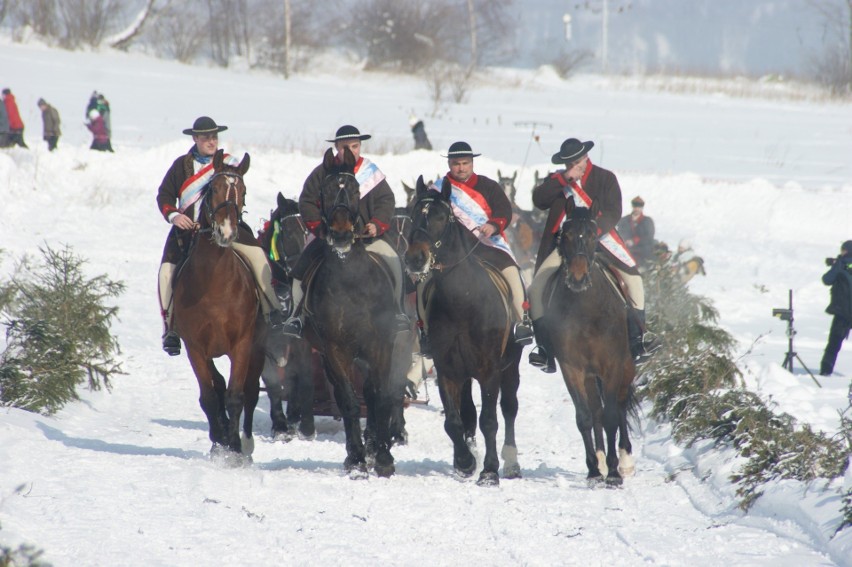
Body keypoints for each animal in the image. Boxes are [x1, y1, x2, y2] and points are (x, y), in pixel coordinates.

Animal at [171, 149, 264, 460]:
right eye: (213, 189)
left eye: (243, 191)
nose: (226, 232)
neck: (214, 284)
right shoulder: (195, 347)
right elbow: (210, 396)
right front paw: (218, 441)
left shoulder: (243, 344)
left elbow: (236, 395)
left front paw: (234, 447)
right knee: (218, 384)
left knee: (250, 390)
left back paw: (245, 442)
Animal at [304, 148, 412, 480]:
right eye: (326, 190)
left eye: (353, 190)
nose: (340, 235)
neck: (350, 280)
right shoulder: (334, 350)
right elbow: (350, 402)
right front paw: (356, 460)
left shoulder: (381, 345)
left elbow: (380, 397)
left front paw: (383, 457)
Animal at [402, 176, 524, 484]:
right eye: (412, 214)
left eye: (440, 216)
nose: (415, 258)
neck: (463, 300)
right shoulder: (448, 370)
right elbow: (453, 421)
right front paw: (465, 461)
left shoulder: (490, 370)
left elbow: (490, 420)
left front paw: (490, 470)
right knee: (468, 412)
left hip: (510, 365)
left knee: (509, 408)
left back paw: (511, 463)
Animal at [544, 197, 636, 486]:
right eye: (566, 235)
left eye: (594, 235)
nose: (577, 278)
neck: (586, 309)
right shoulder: (572, 368)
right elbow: (585, 417)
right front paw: (595, 470)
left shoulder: (613, 365)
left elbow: (612, 417)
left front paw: (615, 472)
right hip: (590, 376)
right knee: (596, 411)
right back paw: (602, 461)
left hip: (627, 367)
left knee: (619, 406)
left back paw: (625, 461)